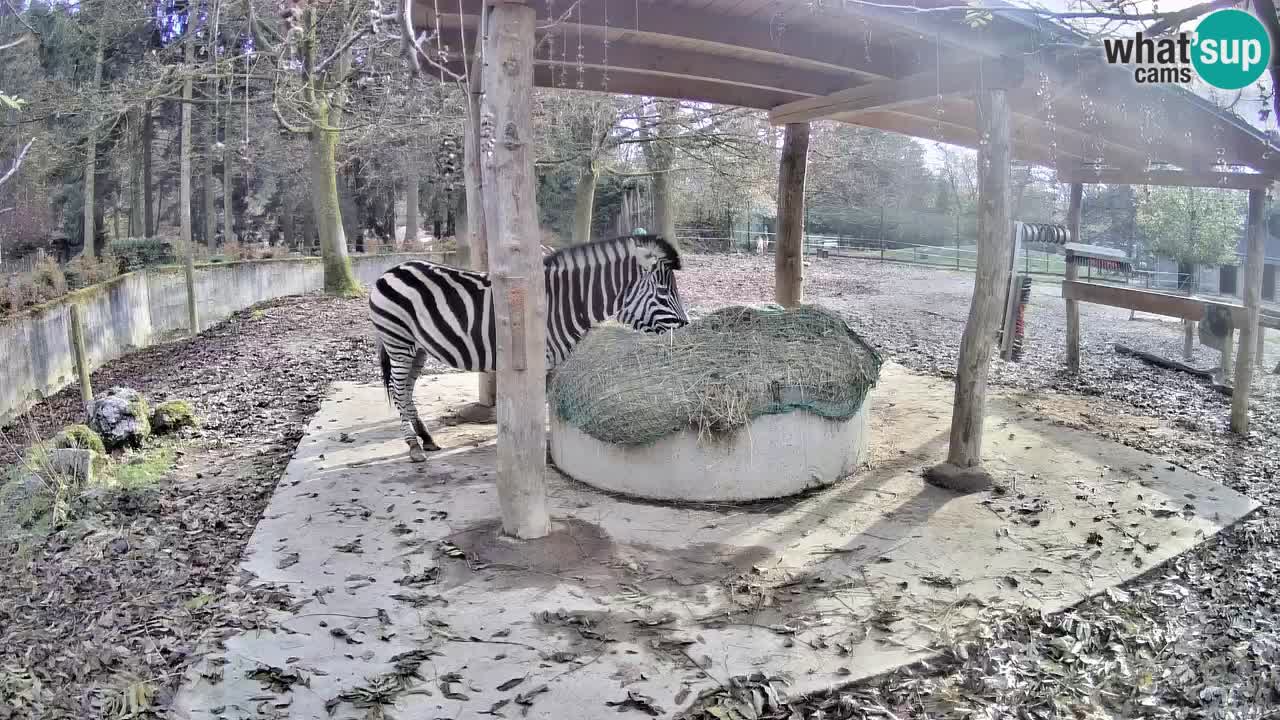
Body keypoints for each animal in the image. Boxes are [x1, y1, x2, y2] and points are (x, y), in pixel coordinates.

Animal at [368, 233, 691, 461]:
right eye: (664, 292)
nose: (685, 329)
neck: (563, 303)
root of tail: (390, 270)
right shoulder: (541, 360)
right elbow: (540, 406)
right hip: (398, 342)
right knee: (398, 391)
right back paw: (413, 446)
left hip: (418, 348)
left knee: (406, 391)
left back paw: (427, 440)